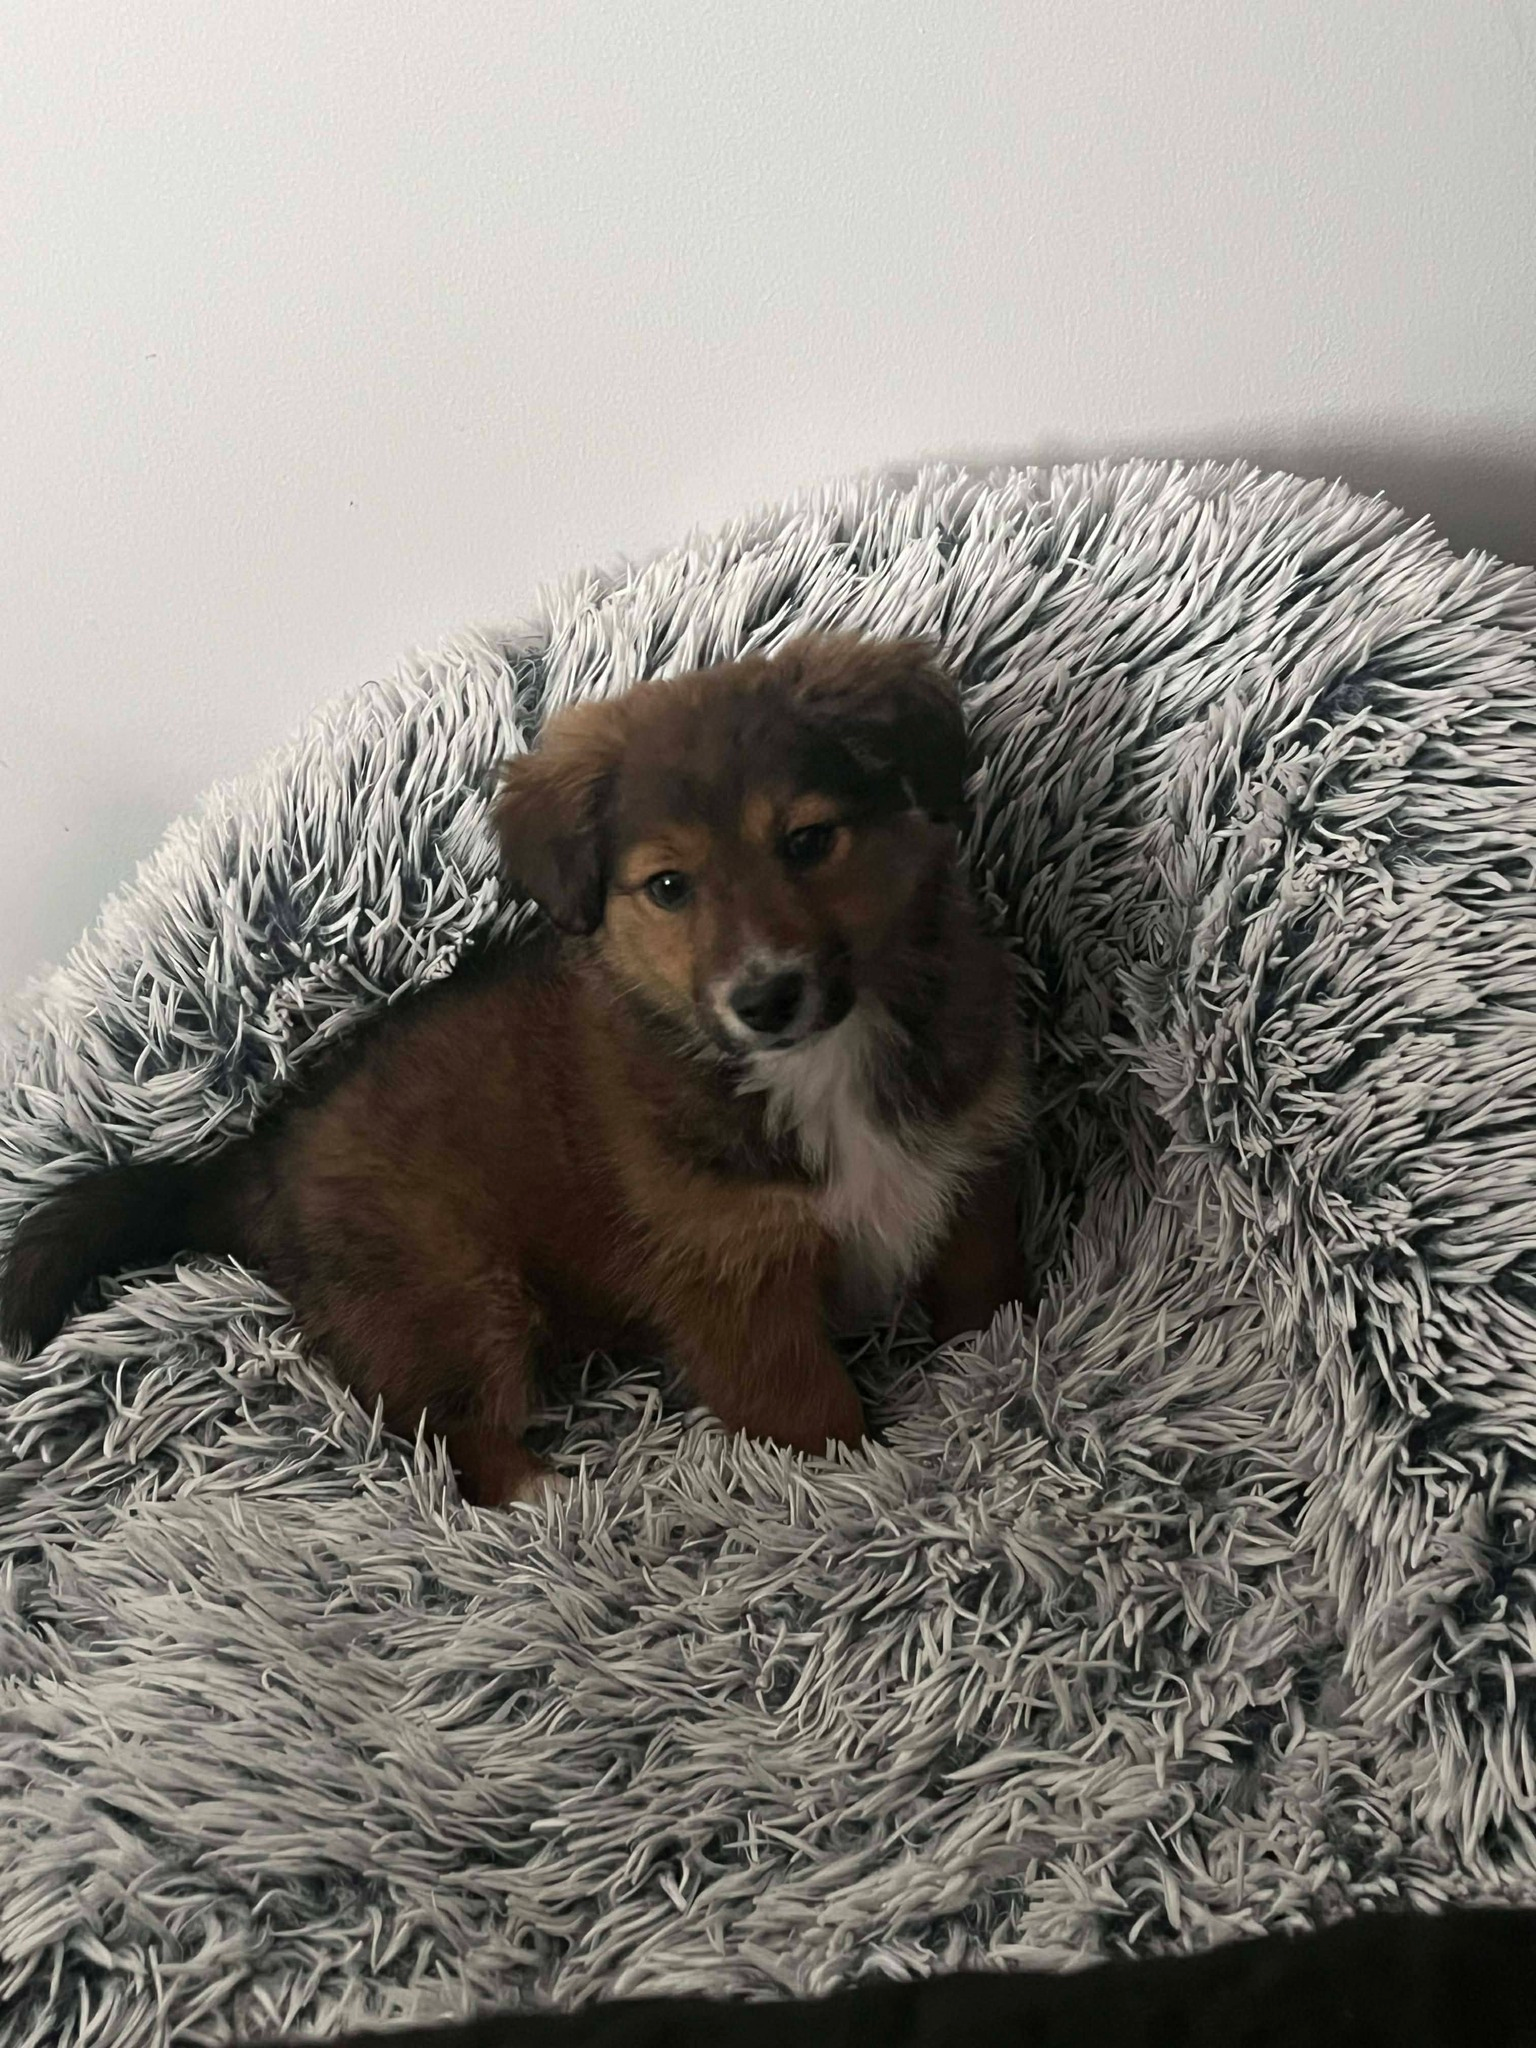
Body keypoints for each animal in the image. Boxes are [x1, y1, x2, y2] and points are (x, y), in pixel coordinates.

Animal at [0, 636, 1029, 1505]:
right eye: (669, 887)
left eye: (810, 842)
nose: (766, 996)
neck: (819, 1065)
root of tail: (257, 1156)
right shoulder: (734, 1282)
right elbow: (814, 1418)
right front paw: (857, 1488)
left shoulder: (966, 1176)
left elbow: (982, 1304)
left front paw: (992, 1376)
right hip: (451, 1293)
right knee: (457, 1441)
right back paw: (547, 1500)